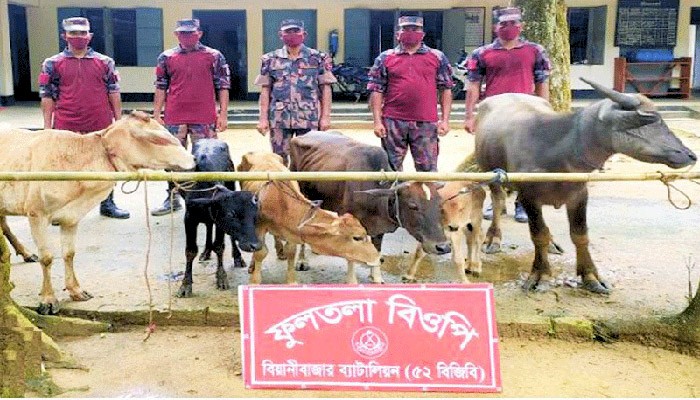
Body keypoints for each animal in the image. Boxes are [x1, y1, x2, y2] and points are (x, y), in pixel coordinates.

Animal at [178, 138, 260, 296]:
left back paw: (237, 257)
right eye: (231, 214)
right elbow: (190, 251)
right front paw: (185, 285)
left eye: (254, 215)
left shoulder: (220, 223)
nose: (255, 245)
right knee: (209, 226)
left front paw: (221, 277)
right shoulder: (189, 218)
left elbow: (219, 246)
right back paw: (206, 251)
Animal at [288, 130, 448, 282]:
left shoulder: (379, 229)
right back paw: (302, 261)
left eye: (439, 203)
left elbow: (376, 252)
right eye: (413, 205)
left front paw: (376, 277)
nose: (443, 247)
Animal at [476, 78, 696, 294]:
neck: (557, 151)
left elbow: (580, 235)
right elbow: (538, 235)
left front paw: (590, 276)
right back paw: (493, 238)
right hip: (489, 171)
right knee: (498, 200)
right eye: (651, 122)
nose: (690, 155)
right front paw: (541, 275)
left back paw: (552, 243)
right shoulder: (530, 197)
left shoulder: (579, 195)